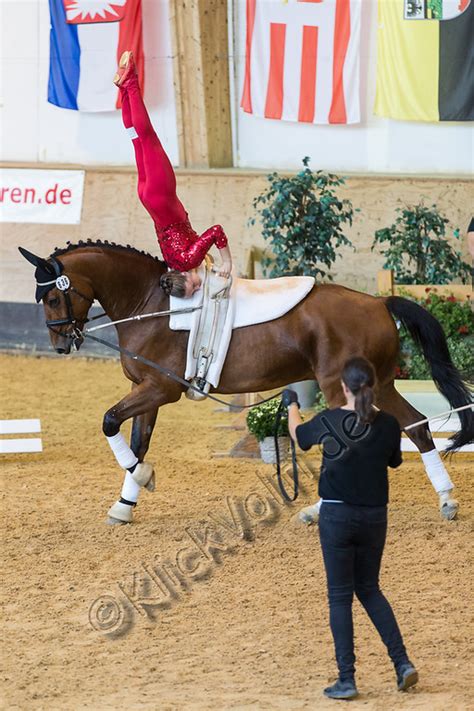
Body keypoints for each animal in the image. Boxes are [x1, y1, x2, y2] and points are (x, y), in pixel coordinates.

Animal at [19, 242, 474, 524]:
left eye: (53, 297)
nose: (60, 344)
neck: (150, 304)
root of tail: (379, 302)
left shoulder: (160, 389)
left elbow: (110, 422)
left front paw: (143, 478)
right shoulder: (146, 391)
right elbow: (137, 441)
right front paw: (125, 504)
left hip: (341, 386)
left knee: (351, 440)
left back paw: (317, 510)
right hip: (379, 384)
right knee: (416, 426)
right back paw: (447, 499)